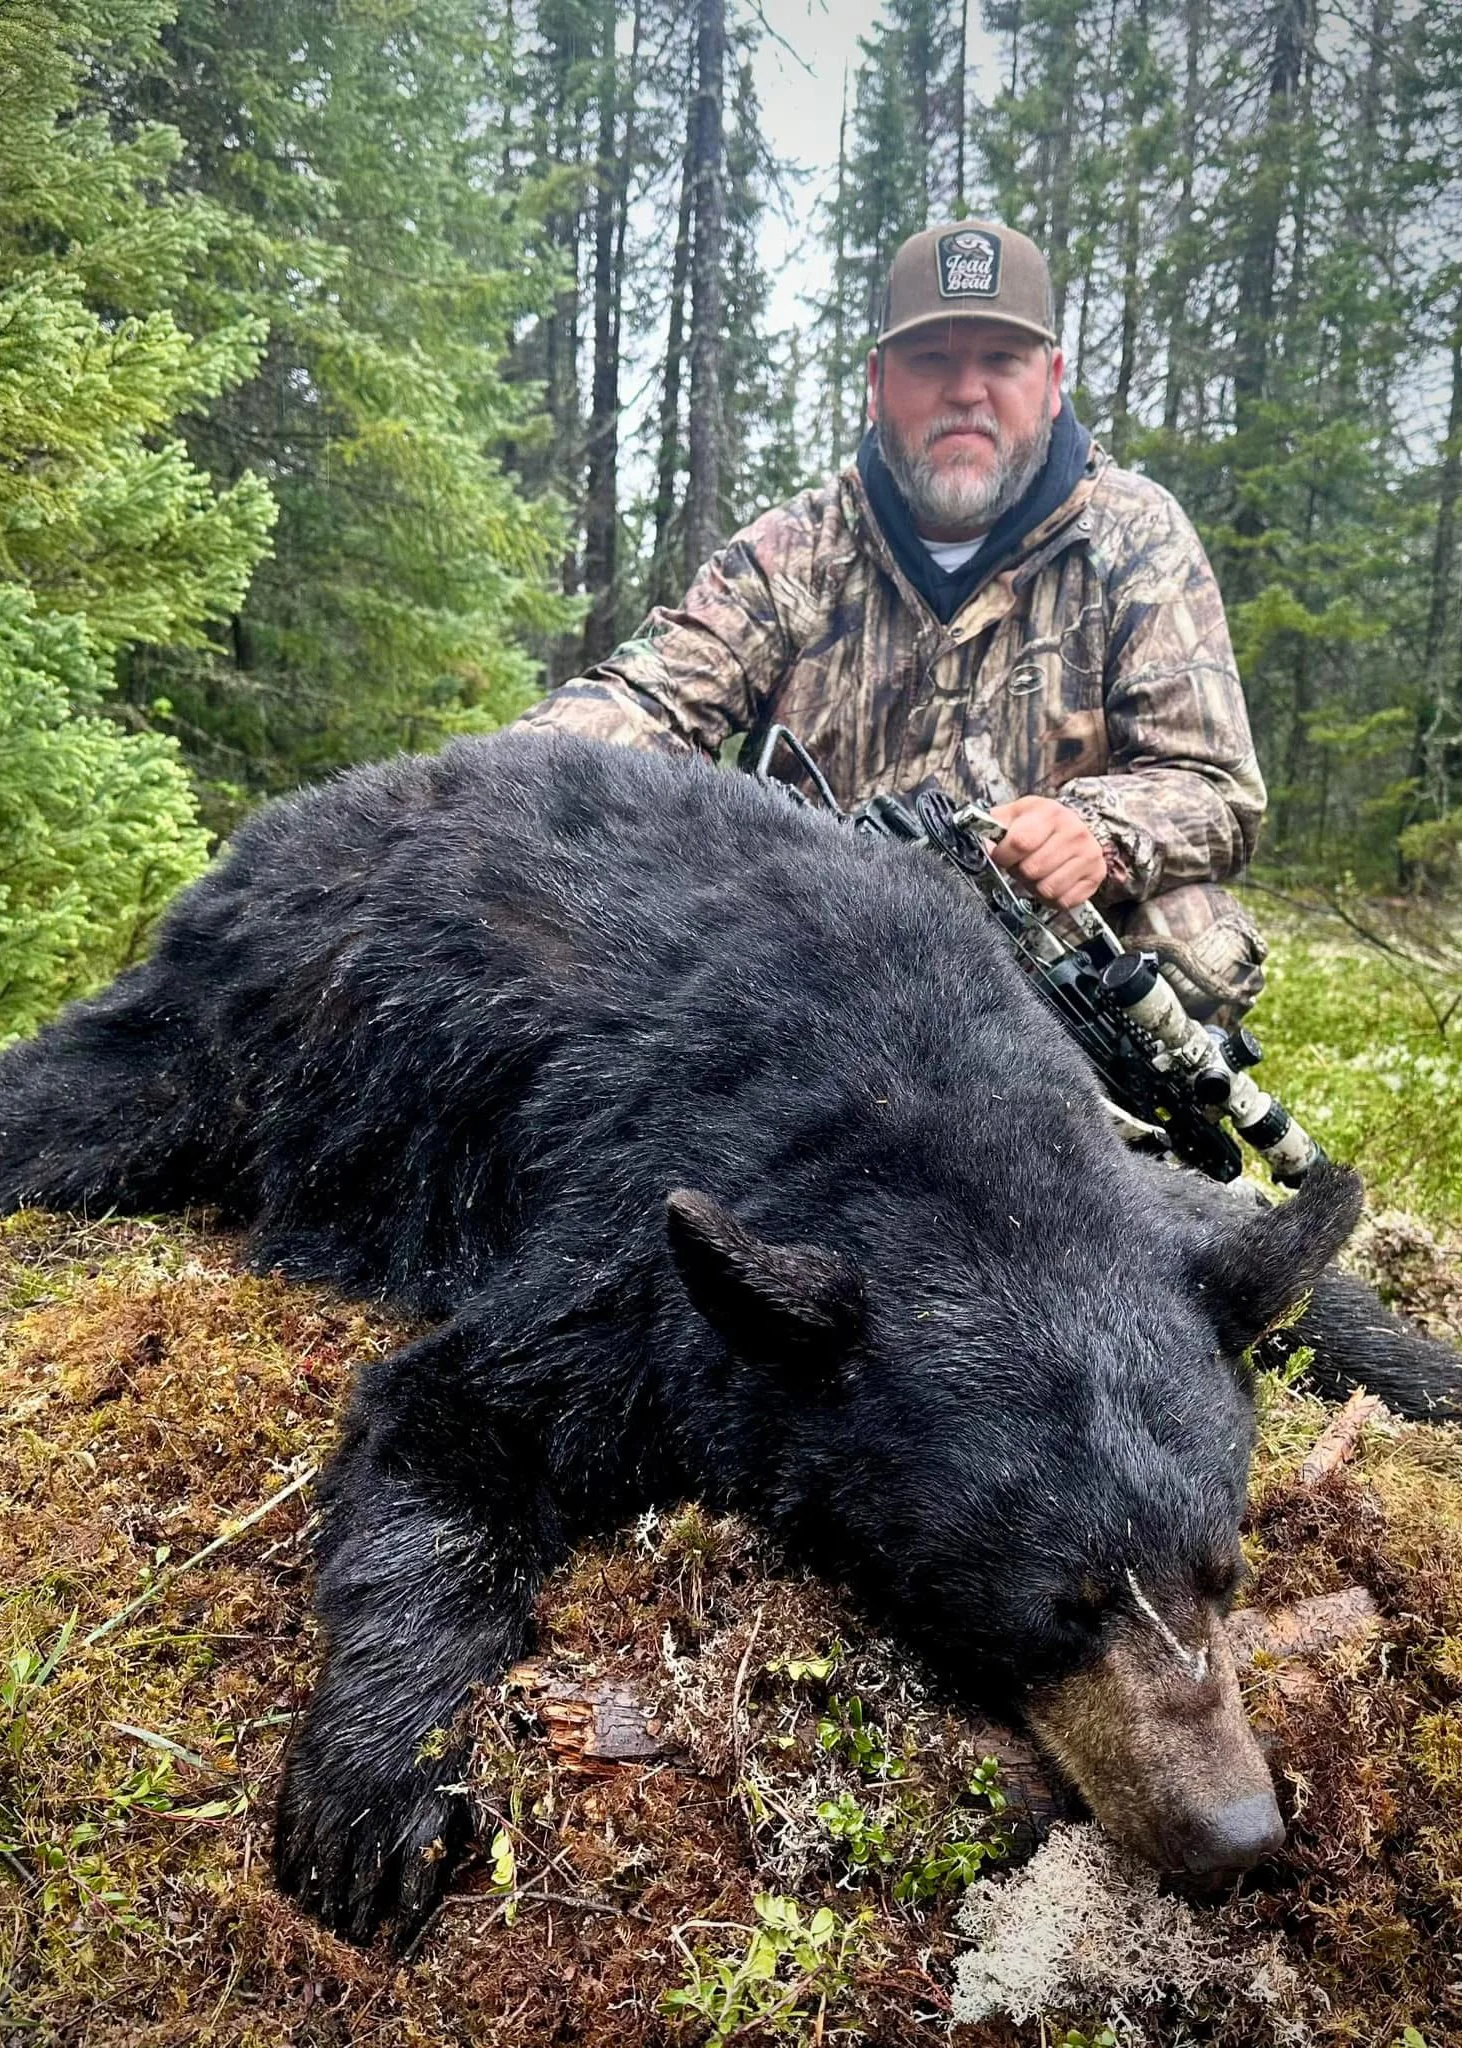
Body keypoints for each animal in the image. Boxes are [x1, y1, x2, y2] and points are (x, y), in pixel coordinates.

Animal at [0, 730, 1455, 1946]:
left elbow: (1284, 1270)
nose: (1236, 1835)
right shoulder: (640, 1259)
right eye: (1054, 1604)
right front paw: (375, 1799)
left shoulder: (1115, 1189)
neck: (929, 1117)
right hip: (221, 1045)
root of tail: (281, 827)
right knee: (79, 1098)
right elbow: (447, 1422)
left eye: (1224, 1570)